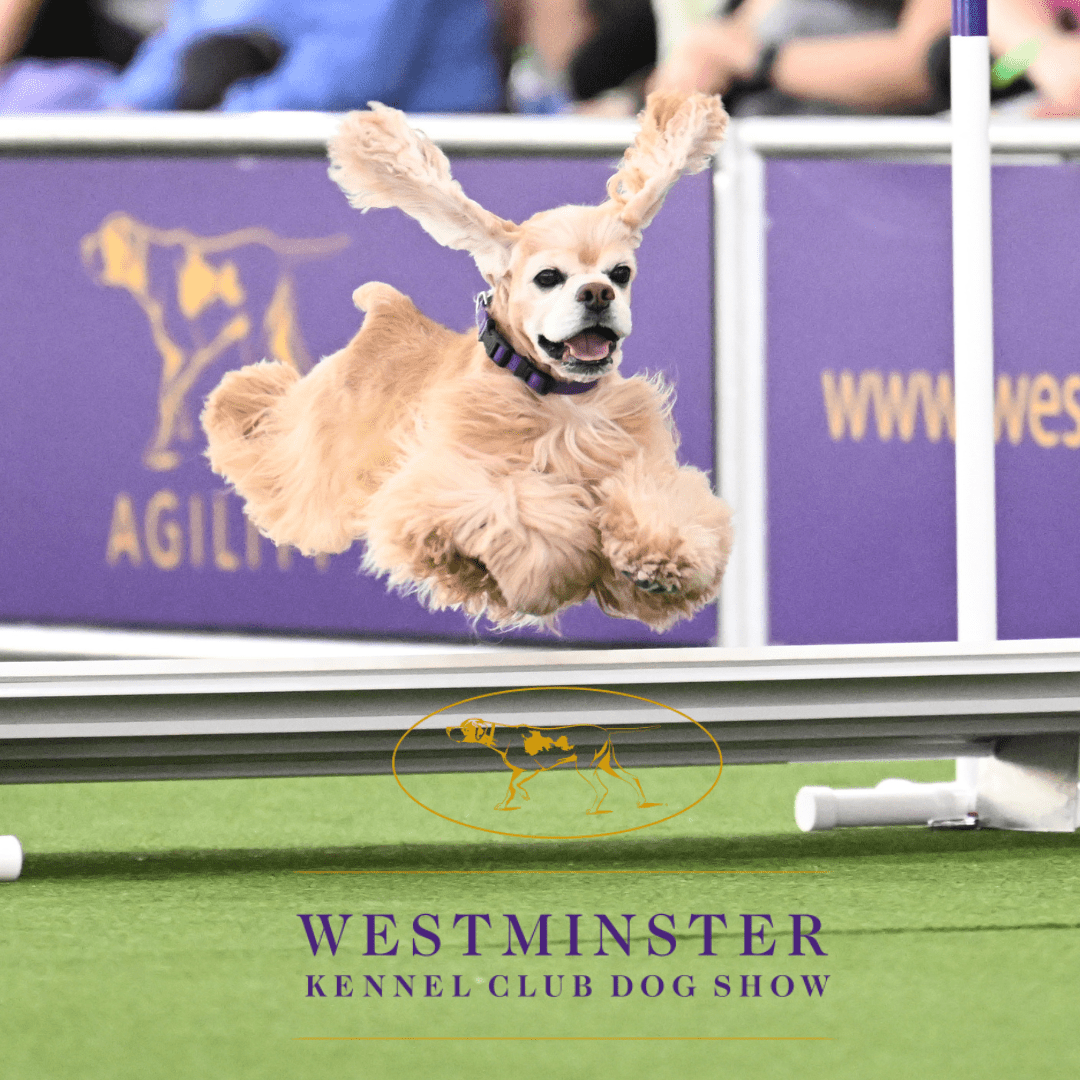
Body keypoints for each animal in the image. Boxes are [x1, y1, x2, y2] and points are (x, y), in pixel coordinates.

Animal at [203, 95, 734, 630]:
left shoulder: (639, 465)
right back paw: (229, 402)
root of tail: (390, 312)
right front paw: (551, 569)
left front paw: (663, 560)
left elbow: (661, 505)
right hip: (313, 469)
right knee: (263, 432)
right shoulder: (449, 484)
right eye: (548, 277)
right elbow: (522, 513)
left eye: (621, 273)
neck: (556, 400)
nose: (598, 293)